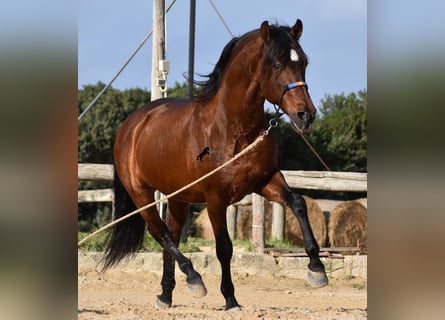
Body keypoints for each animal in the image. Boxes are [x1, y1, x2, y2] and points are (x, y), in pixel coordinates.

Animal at [103, 19, 326, 310]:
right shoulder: (215, 198)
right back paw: (194, 279)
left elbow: (298, 203)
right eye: (277, 64)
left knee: (171, 236)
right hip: (141, 194)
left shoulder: (266, 181)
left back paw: (166, 294)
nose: (306, 116)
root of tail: (131, 125)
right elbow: (224, 247)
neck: (232, 129)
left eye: (305, 63)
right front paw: (230, 299)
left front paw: (317, 269)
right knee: (160, 233)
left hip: (178, 198)